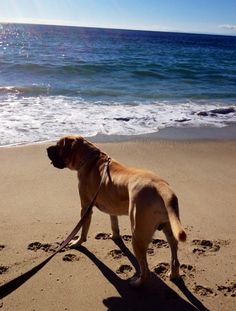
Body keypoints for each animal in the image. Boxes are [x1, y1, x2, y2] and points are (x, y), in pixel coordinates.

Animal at [47, 136, 186, 288]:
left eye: (58, 145)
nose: (46, 149)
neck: (89, 158)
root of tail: (161, 187)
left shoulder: (85, 207)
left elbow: (83, 230)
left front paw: (77, 242)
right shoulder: (111, 207)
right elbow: (114, 223)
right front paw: (115, 236)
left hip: (138, 234)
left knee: (146, 270)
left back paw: (137, 283)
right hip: (169, 229)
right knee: (174, 256)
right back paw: (173, 274)